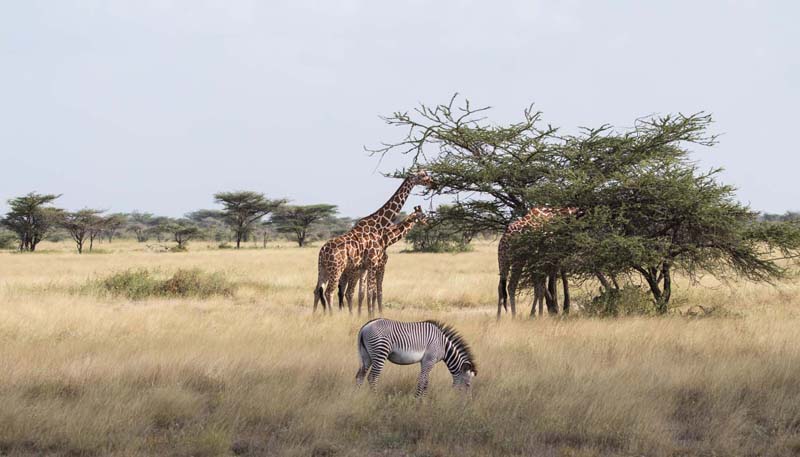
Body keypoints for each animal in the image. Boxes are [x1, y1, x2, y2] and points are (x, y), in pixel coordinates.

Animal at [316, 171, 434, 314]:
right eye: (423, 175)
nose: (433, 183)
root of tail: (322, 250)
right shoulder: (375, 265)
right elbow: (373, 292)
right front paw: (372, 314)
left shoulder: (364, 267)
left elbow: (363, 293)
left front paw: (362, 314)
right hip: (337, 269)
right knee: (332, 292)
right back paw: (333, 315)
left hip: (324, 269)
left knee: (320, 291)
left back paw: (320, 314)